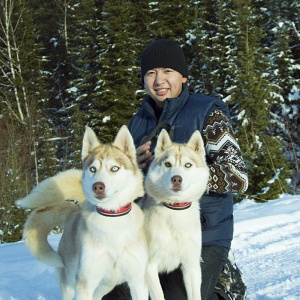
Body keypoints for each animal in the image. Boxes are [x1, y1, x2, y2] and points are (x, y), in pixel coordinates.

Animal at [16, 126, 148, 300]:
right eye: (93, 169)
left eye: (114, 168)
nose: (98, 186)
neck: (112, 220)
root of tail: (74, 212)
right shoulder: (85, 282)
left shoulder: (138, 282)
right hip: (71, 284)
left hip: (105, 285)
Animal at [144, 129, 210, 300]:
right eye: (168, 164)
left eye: (188, 165)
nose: (176, 179)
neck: (175, 210)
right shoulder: (149, 267)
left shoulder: (191, 265)